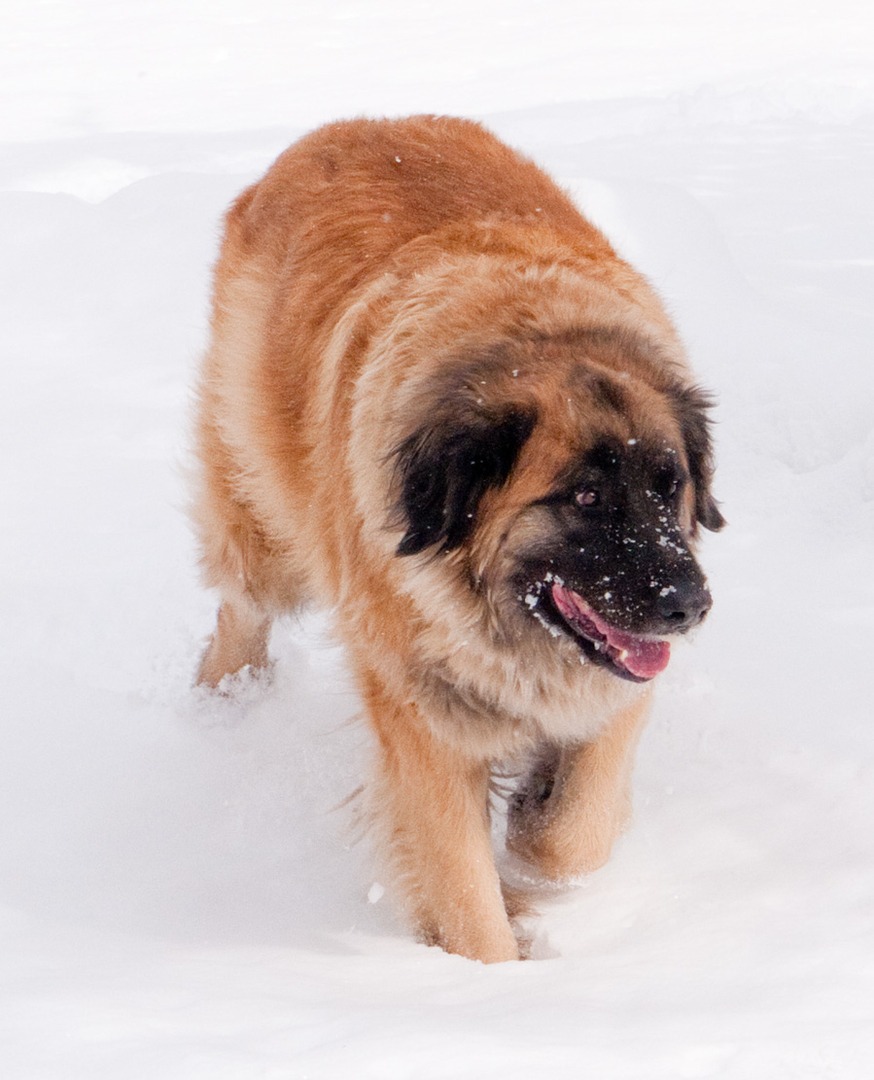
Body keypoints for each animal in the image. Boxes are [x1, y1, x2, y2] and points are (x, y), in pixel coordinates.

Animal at [192, 118, 721, 963]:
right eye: (586, 497)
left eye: (669, 486)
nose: (689, 605)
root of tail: (343, 127)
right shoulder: (423, 717)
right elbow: (463, 889)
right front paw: (488, 975)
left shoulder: (615, 682)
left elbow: (576, 835)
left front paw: (536, 827)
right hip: (261, 506)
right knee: (243, 601)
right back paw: (224, 698)